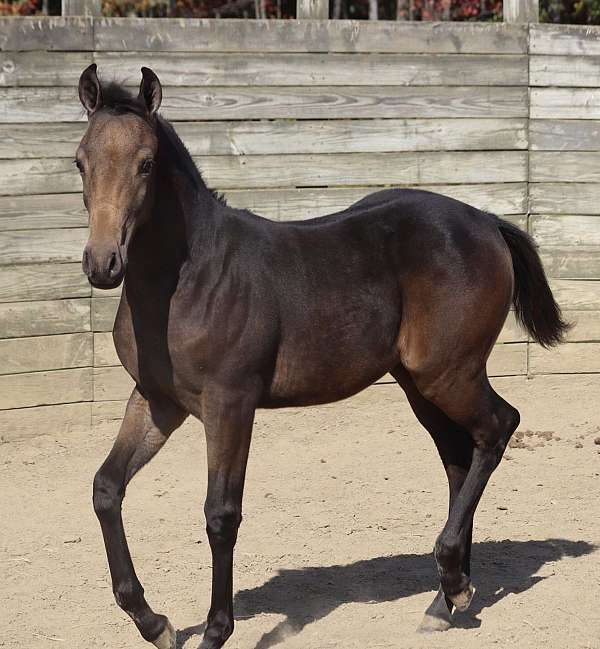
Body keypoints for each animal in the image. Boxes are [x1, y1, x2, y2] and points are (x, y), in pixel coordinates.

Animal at [75, 62, 568, 648]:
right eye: (80, 161)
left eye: (146, 164)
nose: (102, 264)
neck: (190, 278)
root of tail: (486, 220)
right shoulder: (157, 401)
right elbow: (106, 488)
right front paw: (155, 623)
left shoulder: (230, 404)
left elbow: (221, 513)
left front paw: (216, 631)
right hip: (419, 382)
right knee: (458, 456)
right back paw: (447, 597)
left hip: (450, 372)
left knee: (497, 428)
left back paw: (451, 578)